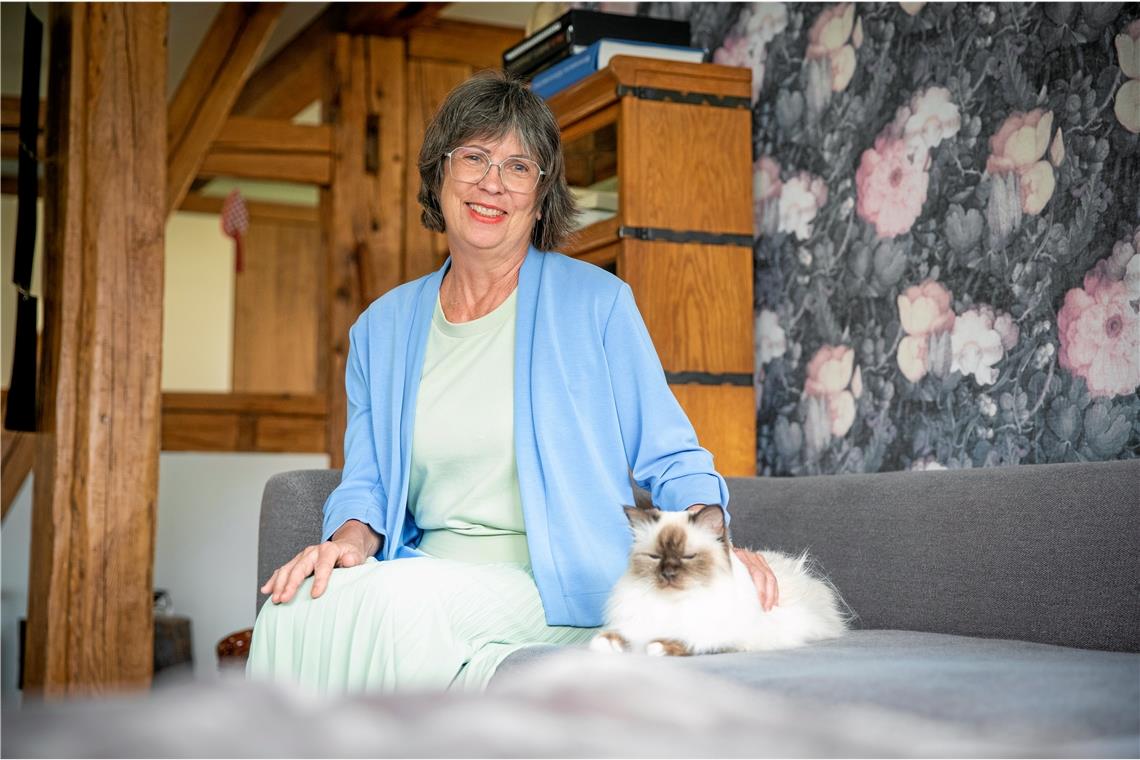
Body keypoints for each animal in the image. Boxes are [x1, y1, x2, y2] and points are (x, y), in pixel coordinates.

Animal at [588, 501, 848, 656]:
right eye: (655, 557)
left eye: (688, 556)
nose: (668, 574)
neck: (674, 604)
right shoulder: (637, 623)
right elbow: (621, 635)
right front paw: (605, 643)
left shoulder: (717, 635)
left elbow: (684, 640)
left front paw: (657, 647)